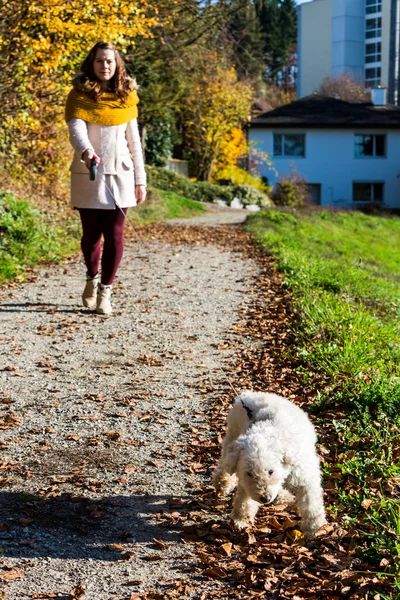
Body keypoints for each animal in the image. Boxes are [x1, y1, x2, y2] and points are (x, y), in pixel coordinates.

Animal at [212, 390, 324, 540]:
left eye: (271, 471)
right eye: (249, 473)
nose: (265, 498)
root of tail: (248, 394)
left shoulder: (305, 477)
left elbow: (311, 504)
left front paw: (316, 528)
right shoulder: (247, 483)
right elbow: (244, 499)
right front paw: (241, 519)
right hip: (232, 436)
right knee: (225, 464)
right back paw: (223, 483)